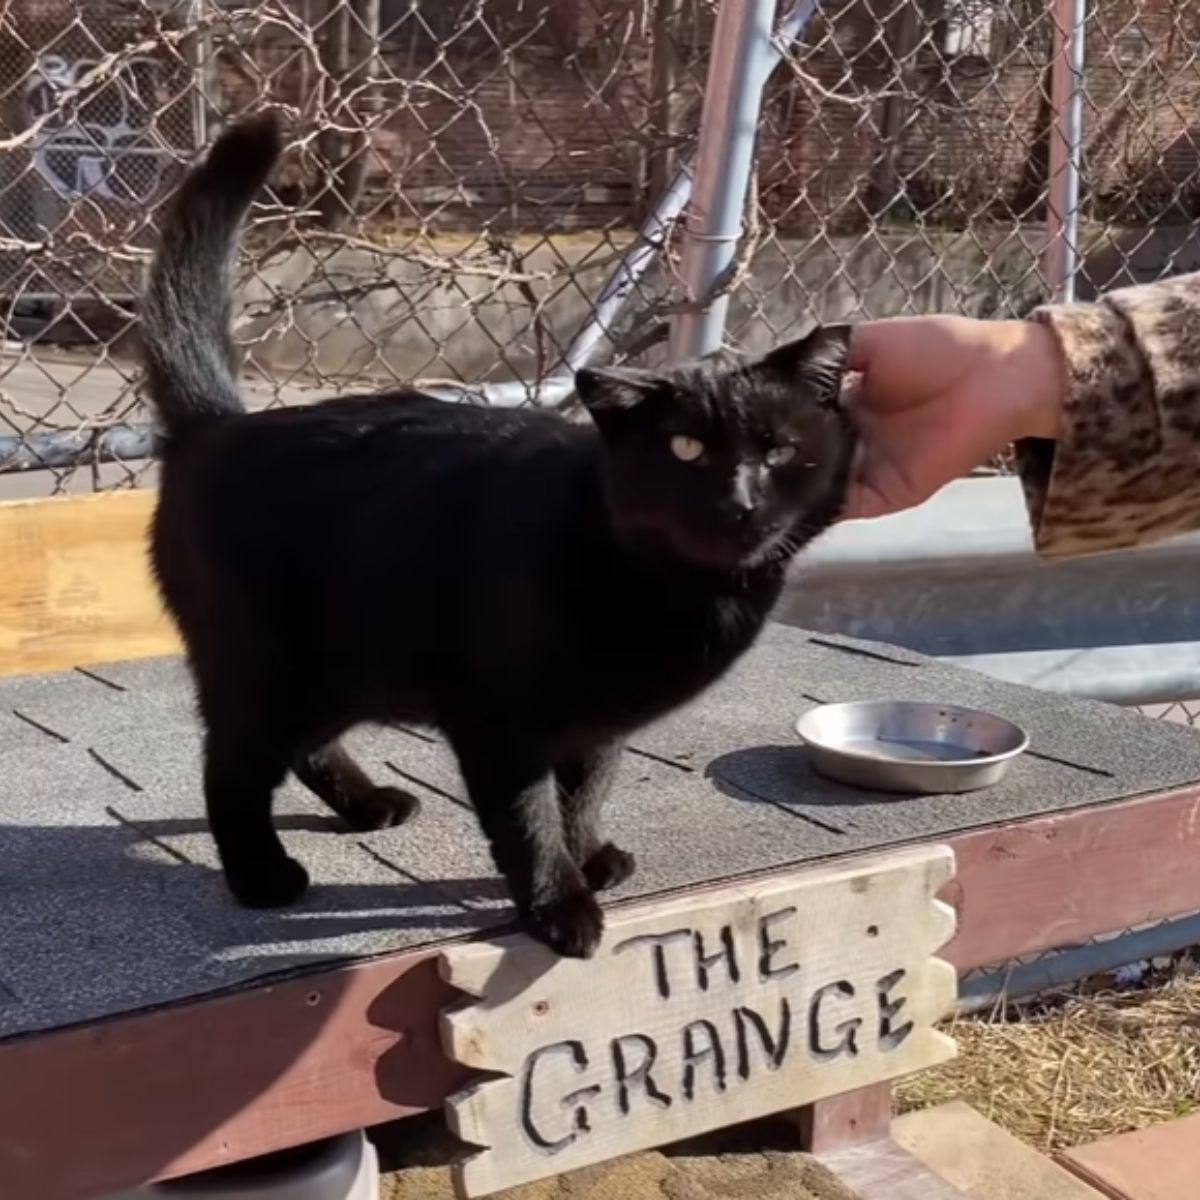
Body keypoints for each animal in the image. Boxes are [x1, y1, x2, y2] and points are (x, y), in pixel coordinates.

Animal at [138, 110, 854, 955]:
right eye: (686, 449)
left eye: (778, 449)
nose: (739, 500)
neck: (670, 592)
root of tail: (217, 425)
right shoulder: (499, 720)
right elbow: (527, 817)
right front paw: (559, 905)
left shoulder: (598, 725)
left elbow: (584, 794)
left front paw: (589, 857)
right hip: (271, 664)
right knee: (232, 766)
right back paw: (261, 876)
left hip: (344, 665)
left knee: (302, 747)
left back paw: (368, 804)